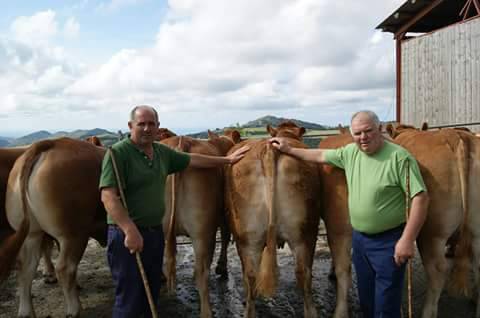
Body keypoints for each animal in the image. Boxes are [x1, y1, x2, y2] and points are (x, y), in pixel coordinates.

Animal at [1, 138, 107, 316]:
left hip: (32, 234)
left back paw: (26, 312)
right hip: (73, 234)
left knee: (26, 268)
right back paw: (74, 310)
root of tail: (51, 143)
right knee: (65, 268)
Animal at [161, 129, 242, 318]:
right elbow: (225, 237)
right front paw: (221, 267)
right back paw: (207, 311)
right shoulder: (223, 216)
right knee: (202, 270)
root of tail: (181, 143)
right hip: (203, 231)